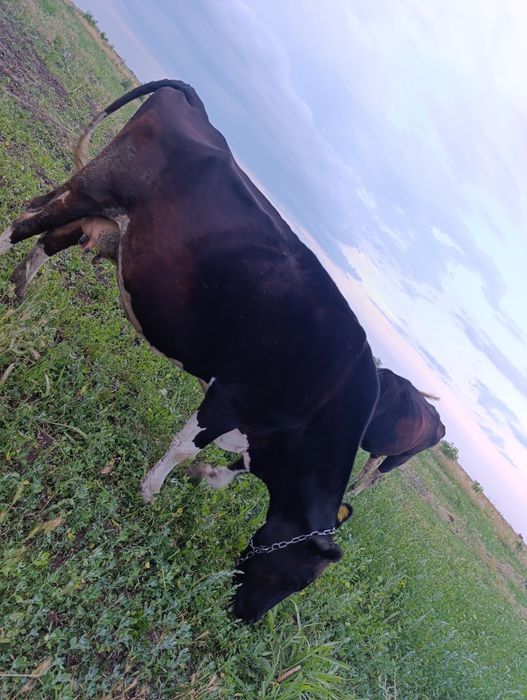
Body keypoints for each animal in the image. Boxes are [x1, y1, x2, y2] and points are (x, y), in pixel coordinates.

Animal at [0, 80, 379, 623]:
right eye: (298, 578)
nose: (246, 618)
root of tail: (196, 107)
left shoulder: (256, 429)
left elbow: (223, 473)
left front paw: (204, 477)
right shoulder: (231, 399)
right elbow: (184, 446)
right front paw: (150, 490)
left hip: (102, 218)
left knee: (47, 241)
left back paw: (18, 295)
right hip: (89, 191)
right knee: (22, 224)